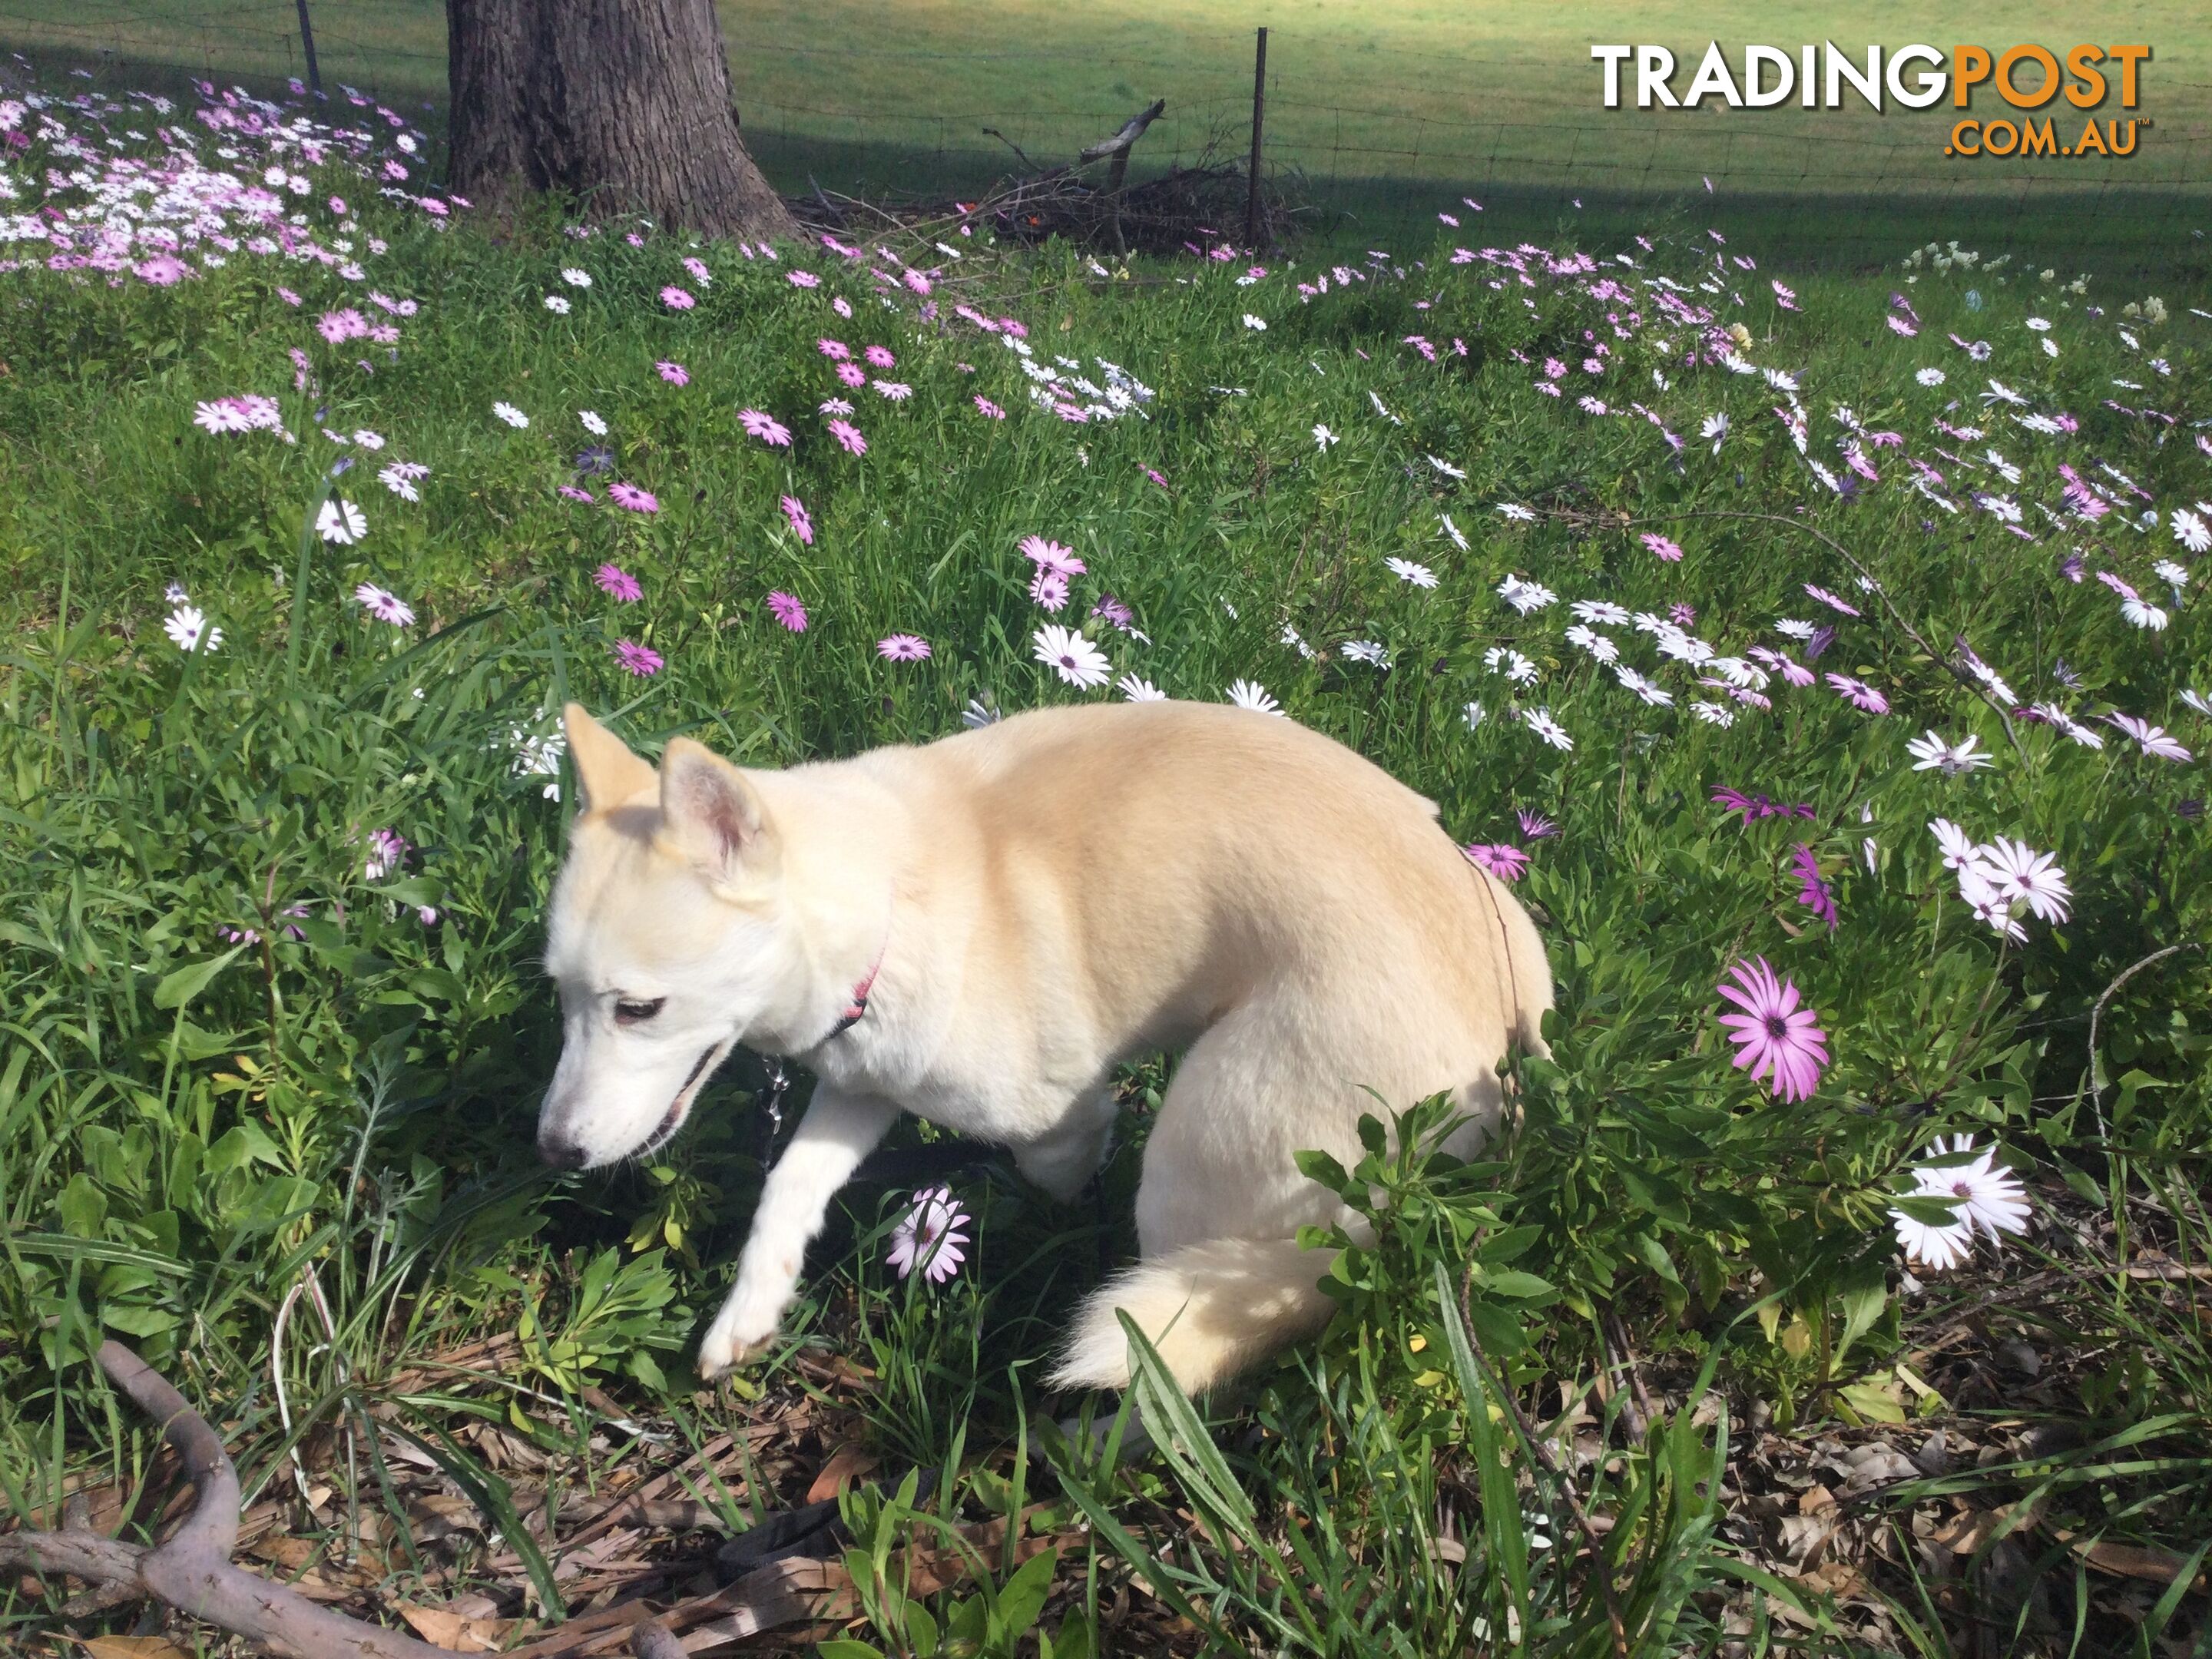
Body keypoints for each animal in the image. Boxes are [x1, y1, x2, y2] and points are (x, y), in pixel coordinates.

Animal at [535, 694, 1548, 1398]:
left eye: (638, 1009)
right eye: (559, 995)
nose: (551, 1151)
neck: (889, 898)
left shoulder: (1061, 1124)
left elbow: (1048, 1189)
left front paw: (1028, 1238)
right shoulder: (863, 1083)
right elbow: (789, 1188)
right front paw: (751, 1311)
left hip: (1190, 1162)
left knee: (1170, 1348)